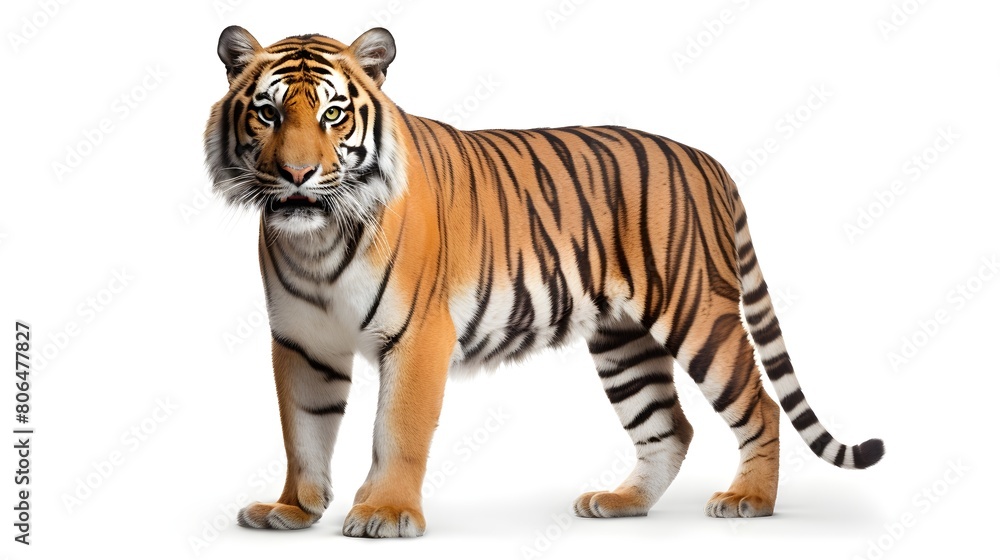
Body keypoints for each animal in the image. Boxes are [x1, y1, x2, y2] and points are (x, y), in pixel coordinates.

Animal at [203, 25, 884, 538]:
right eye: (267, 113)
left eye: (333, 115)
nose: (297, 174)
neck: (314, 240)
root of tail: (708, 161)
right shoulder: (302, 343)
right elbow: (303, 430)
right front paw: (292, 509)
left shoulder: (418, 334)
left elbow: (397, 429)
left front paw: (386, 513)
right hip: (623, 343)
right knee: (670, 426)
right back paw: (622, 503)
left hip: (700, 315)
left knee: (759, 404)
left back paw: (750, 500)